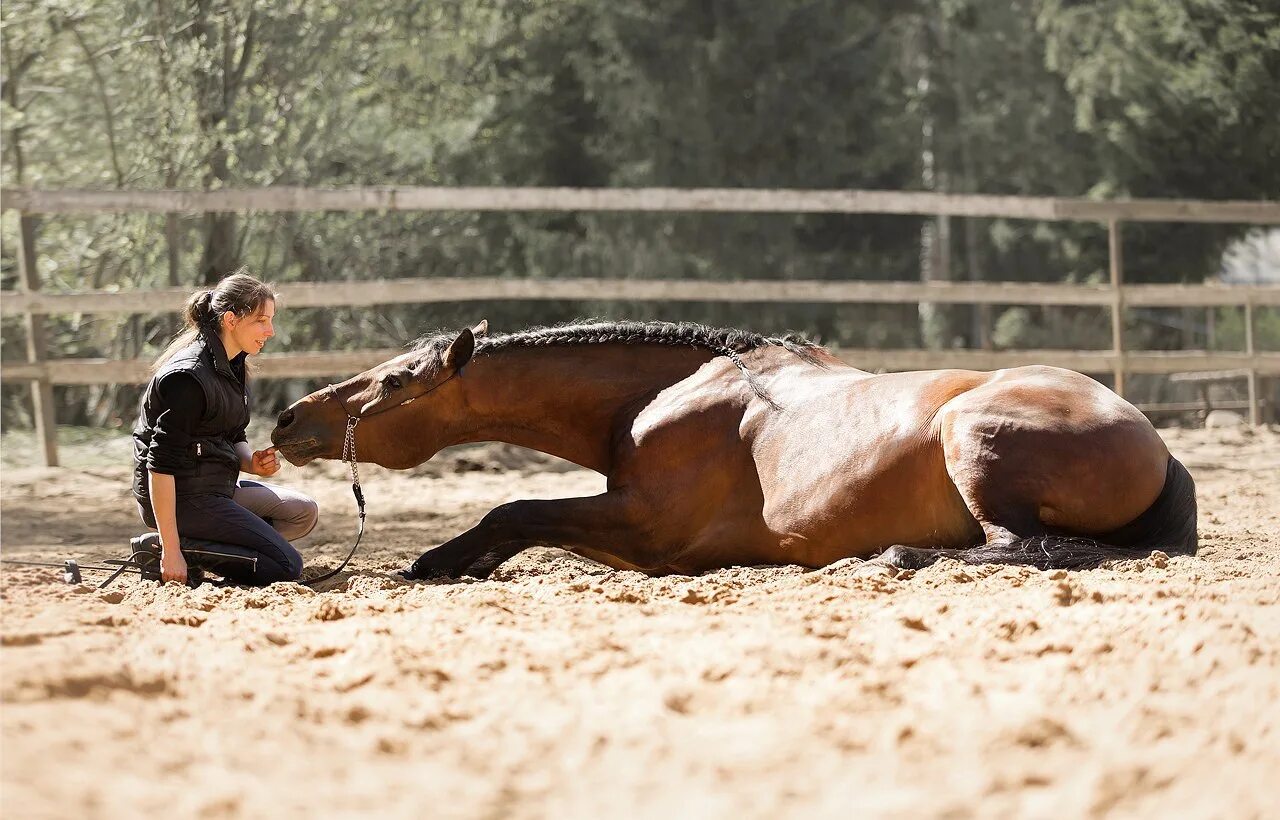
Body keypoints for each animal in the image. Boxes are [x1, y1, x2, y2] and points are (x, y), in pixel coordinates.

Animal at [264, 317, 1192, 578]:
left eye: (393, 383)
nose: (286, 421)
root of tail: (1152, 439)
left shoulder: (647, 532)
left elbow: (513, 507)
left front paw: (439, 562)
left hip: (974, 437)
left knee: (1024, 548)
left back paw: (891, 556)